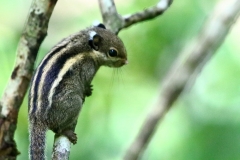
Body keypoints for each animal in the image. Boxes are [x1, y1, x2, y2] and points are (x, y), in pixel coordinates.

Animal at [27, 24, 127, 160]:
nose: (126, 61)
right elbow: (84, 82)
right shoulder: (87, 68)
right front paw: (87, 90)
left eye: (120, 41)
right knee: (56, 128)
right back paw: (66, 132)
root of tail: (37, 117)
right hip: (73, 104)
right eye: (112, 52)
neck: (86, 42)